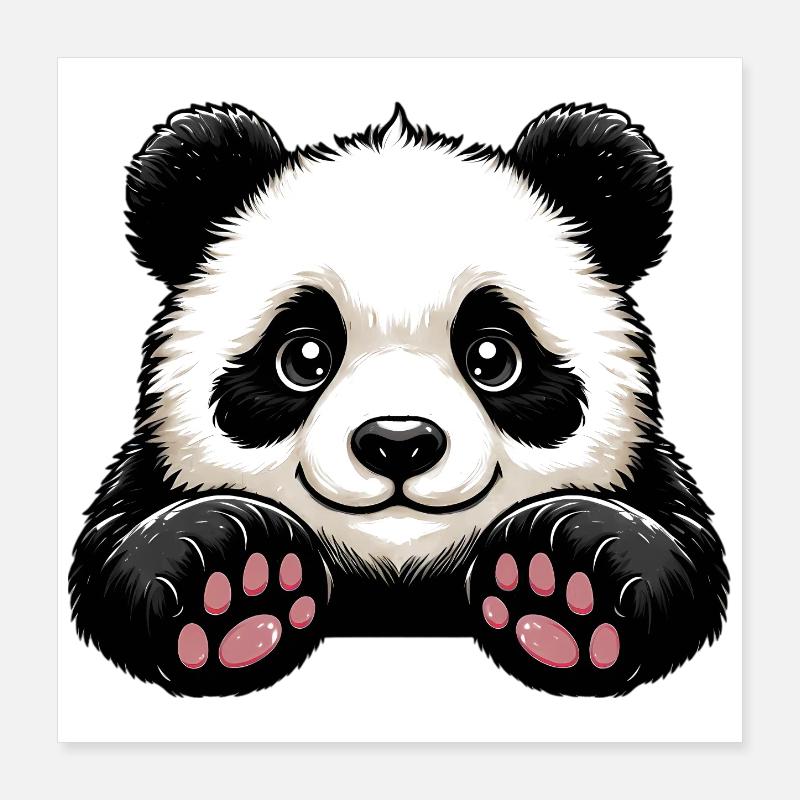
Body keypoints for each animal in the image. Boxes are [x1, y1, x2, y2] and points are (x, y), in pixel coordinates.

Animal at [69, 101, 729, 698]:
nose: (398, 443)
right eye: (303, 356)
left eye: (494, 357)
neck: (399, 580)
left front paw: (568, 586)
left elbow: (683, 559)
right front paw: (228, 586)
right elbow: (114, 558)